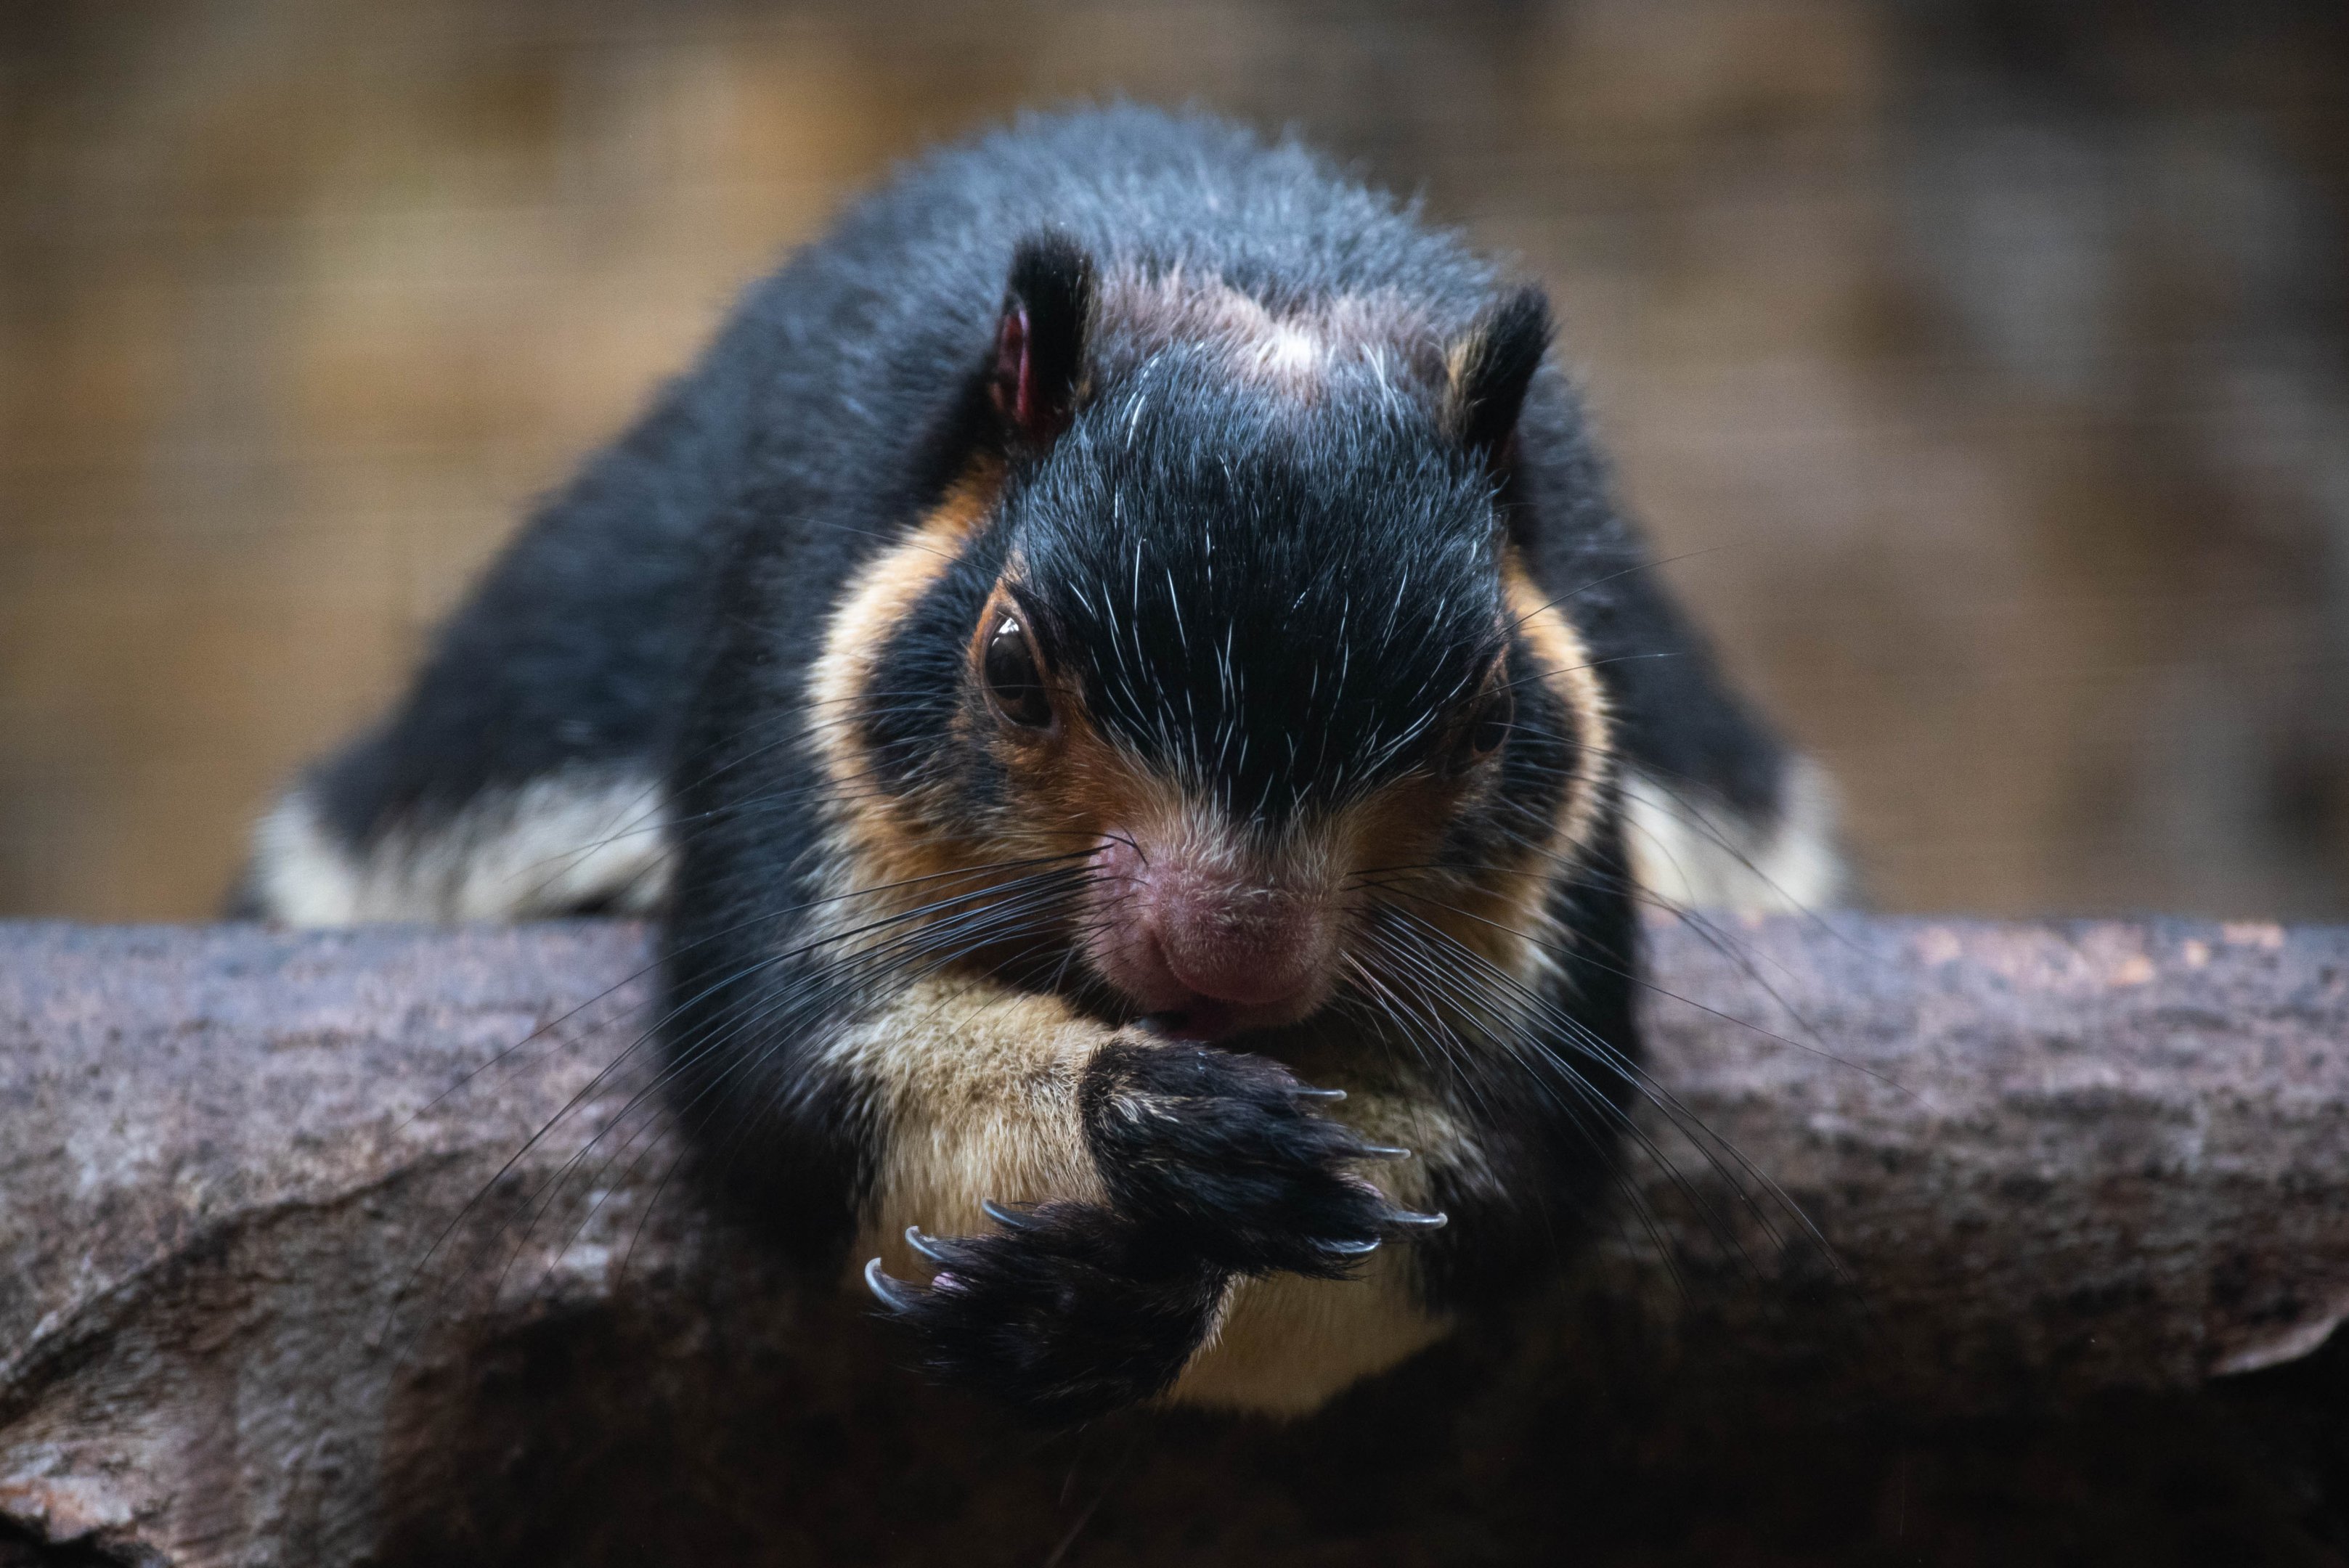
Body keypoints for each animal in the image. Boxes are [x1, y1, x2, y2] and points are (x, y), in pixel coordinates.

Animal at [237, 106, 1842, 1422]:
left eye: (1490, 717)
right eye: (1008, 664)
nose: (1231, 952)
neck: (1253, 277)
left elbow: (1497, 1189)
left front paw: (1104, 1303)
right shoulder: (780, 679)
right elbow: (785, 1072)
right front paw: (1168, 1128)